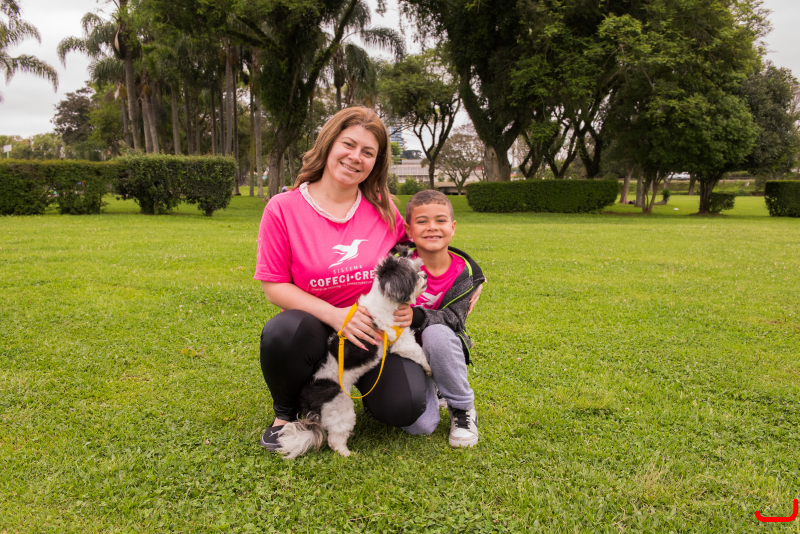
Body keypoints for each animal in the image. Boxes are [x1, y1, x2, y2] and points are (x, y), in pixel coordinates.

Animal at [277, 246, 430, 459]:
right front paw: (429, 368)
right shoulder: (400, 341)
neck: (385, 302)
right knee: (335, 438)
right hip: (341, 410)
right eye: (414, 274)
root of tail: (309, 403)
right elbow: (418, 352)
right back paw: (346, 453)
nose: (425, 276)